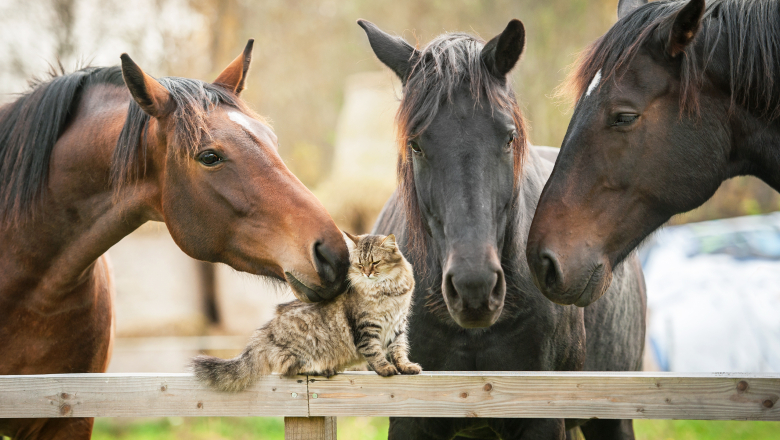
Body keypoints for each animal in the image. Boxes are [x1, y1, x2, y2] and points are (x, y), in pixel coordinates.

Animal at [191, 234, 420, 392]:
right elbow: (375, 353)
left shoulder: (398, 326)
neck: (388, 291)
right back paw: (322, 368)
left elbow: (399, 351)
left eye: (375, 262)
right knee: (287, 369)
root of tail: (266, 333)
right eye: (359, 264)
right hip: (299, 349)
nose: (367, 273)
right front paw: (386, 369)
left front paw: (406, 367)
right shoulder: (366, 329)